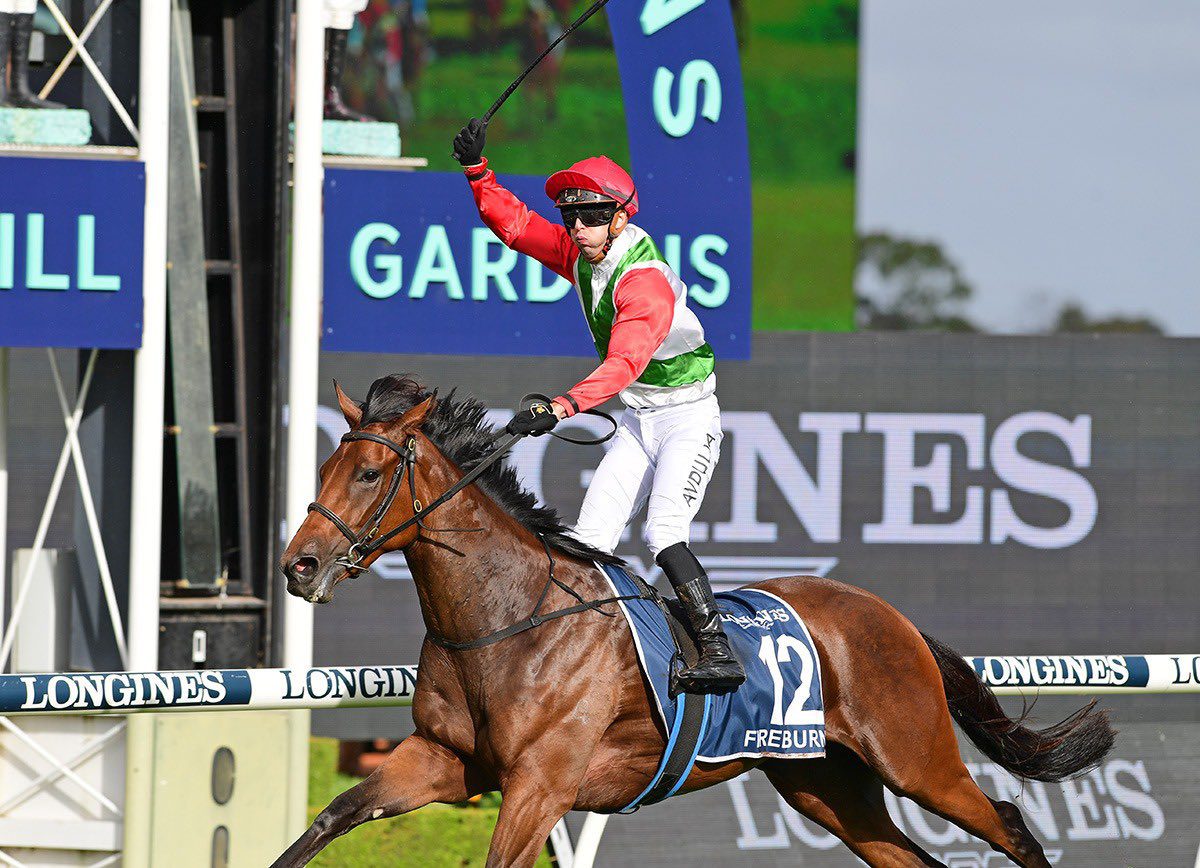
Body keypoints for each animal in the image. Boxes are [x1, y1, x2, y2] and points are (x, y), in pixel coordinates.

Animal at [272, 379, 1113, 868]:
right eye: (323, 469)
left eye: (370, 473)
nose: (299, 566)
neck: (509, 619)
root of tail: (893, 618)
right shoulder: (445, 760)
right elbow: (329, 819)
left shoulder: (541, 784)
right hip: (826, 786)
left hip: (917, 760)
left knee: (1009, 822)